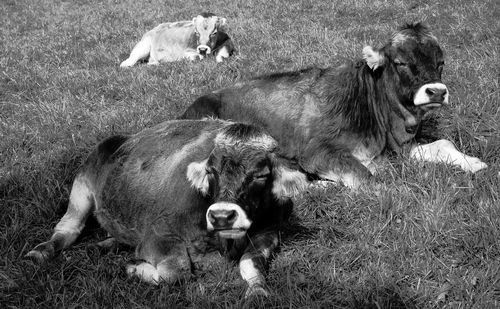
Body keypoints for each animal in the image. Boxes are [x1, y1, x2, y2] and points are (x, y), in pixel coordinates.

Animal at [25, 118, 306, 296]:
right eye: (210, 171)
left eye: (261, 175)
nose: (221, 216)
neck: (225, 244)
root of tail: (120, 138)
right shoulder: (158, 235)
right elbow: (175, 272)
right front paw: (134, 268)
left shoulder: (270, 232)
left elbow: (251, 262)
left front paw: (258, 290)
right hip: (81, 187)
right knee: (67, 228)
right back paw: (40, 252)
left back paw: (103, 245)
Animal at [181, 22, 488, 188]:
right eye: (400, 62)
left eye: (441, 63)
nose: (436, 92)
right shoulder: (317, 151)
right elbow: (370, 178)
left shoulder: (401, 146)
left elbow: (443, 143)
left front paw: (473, 163)